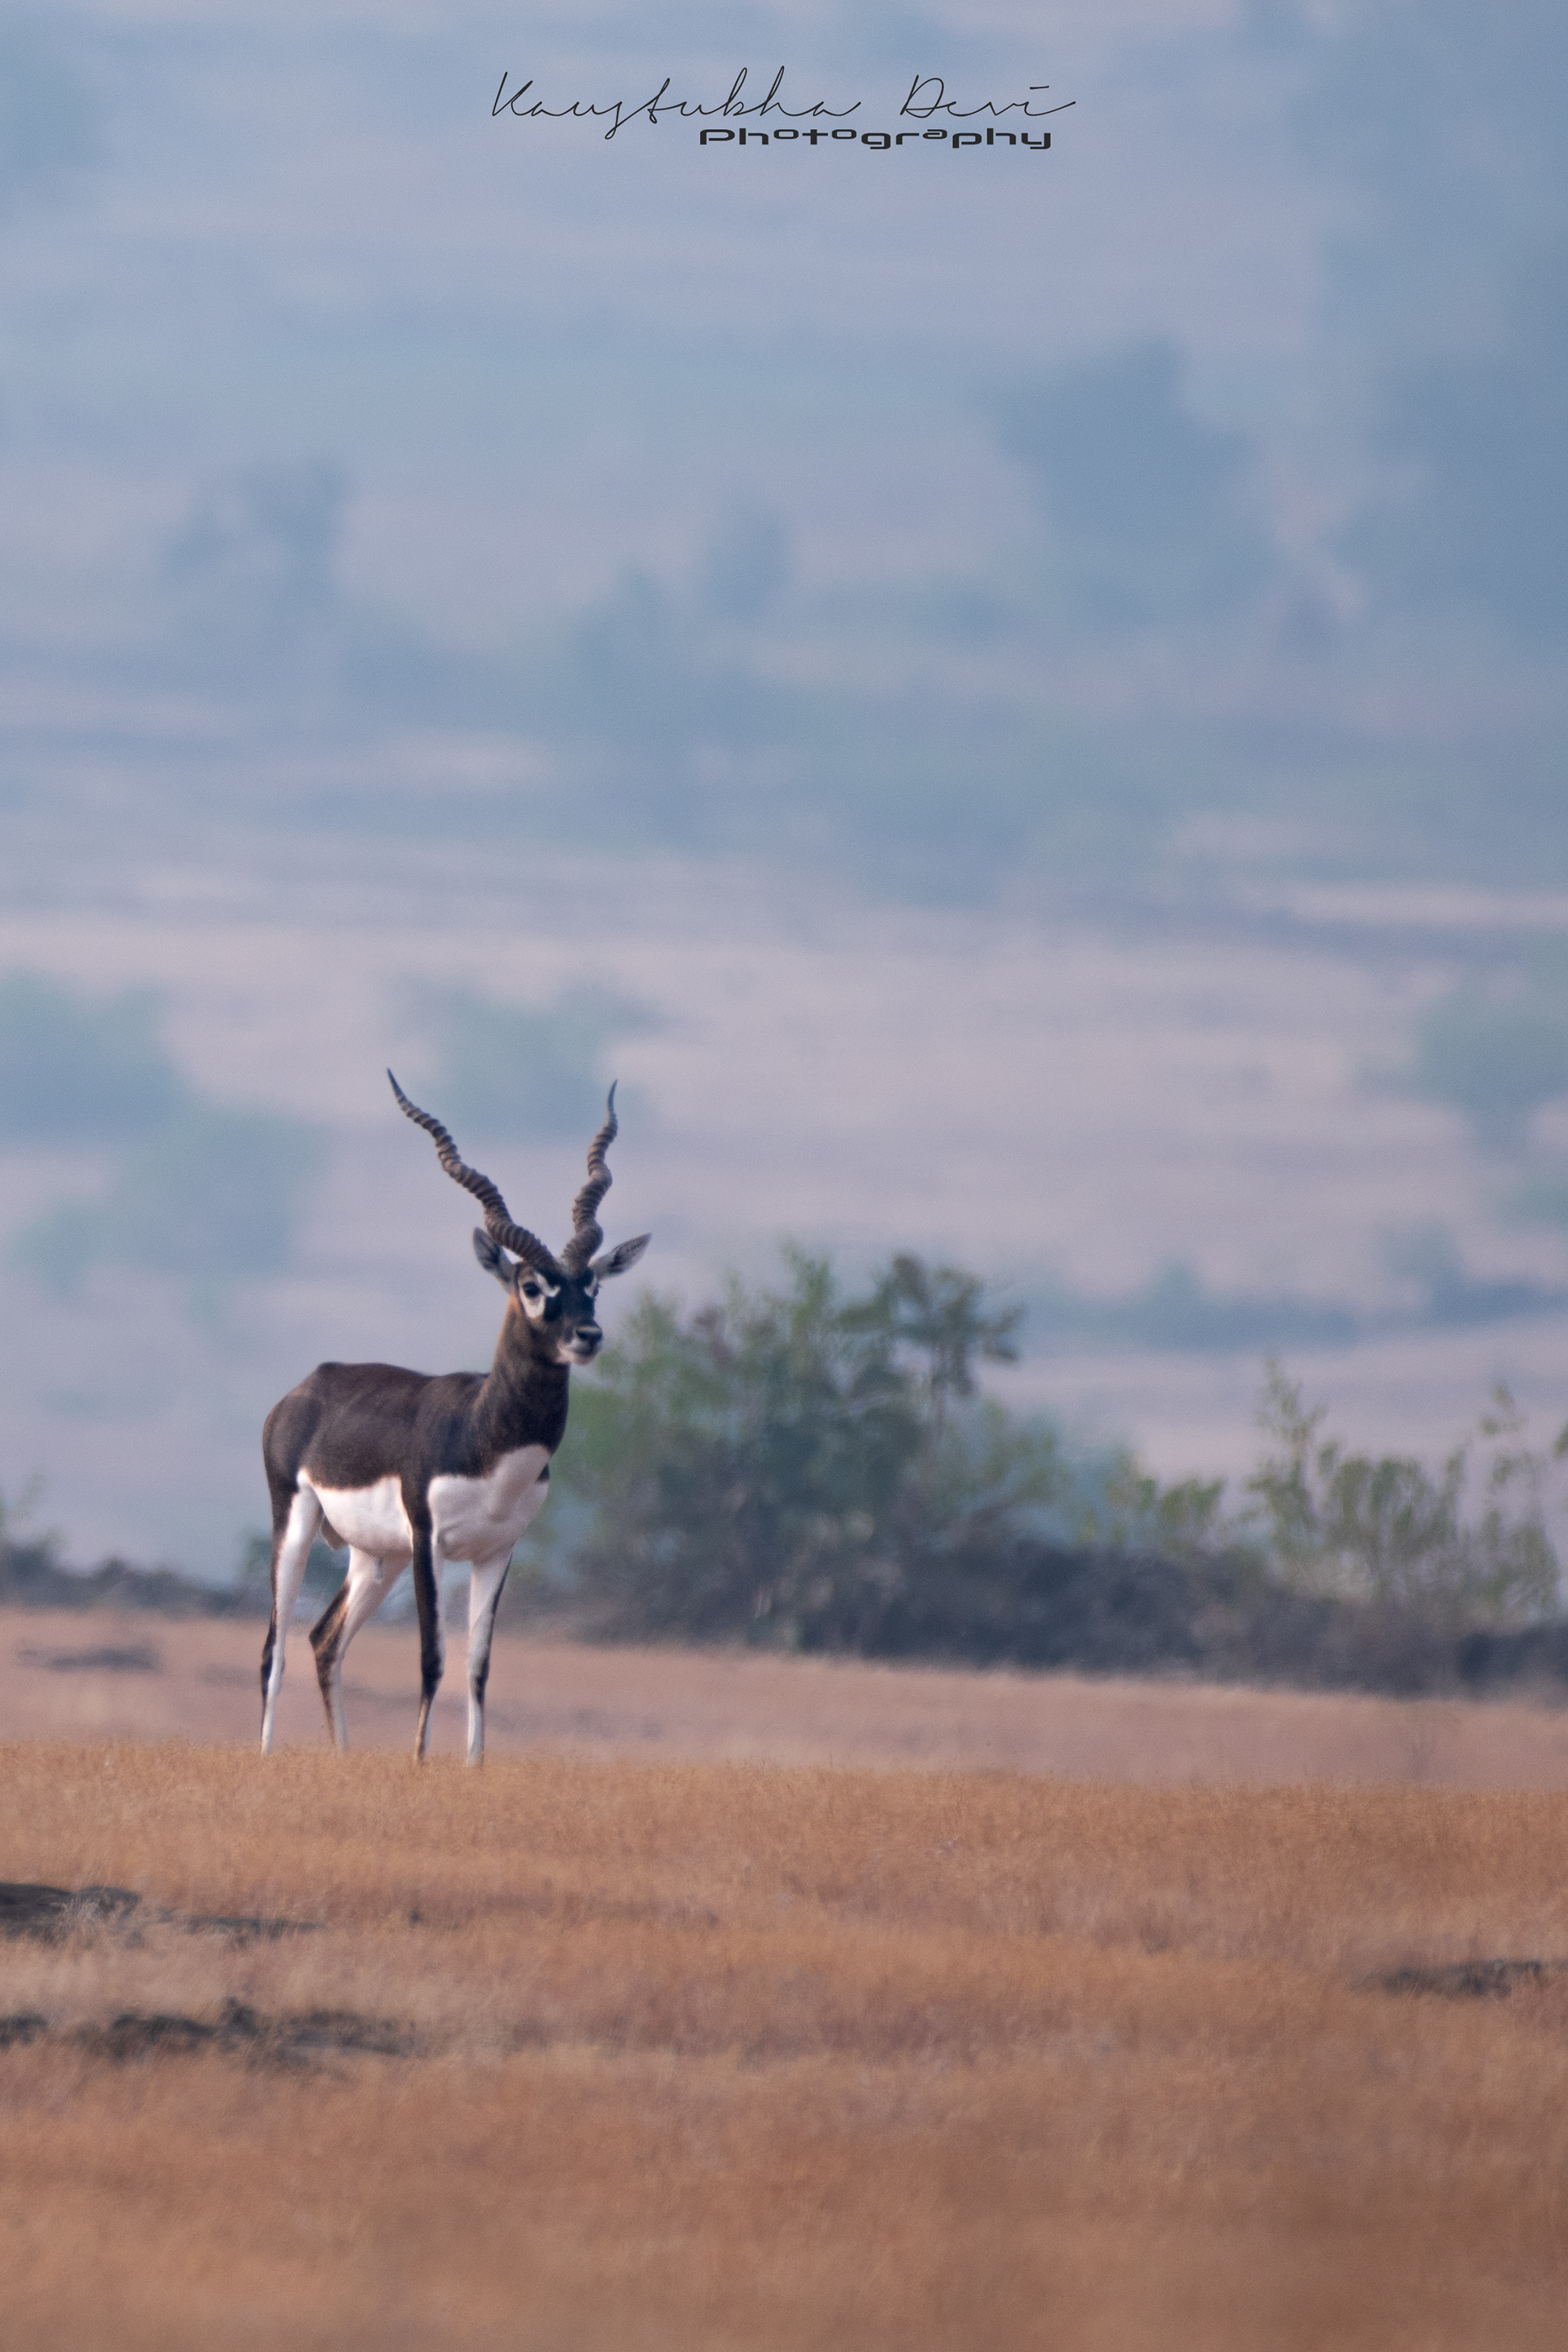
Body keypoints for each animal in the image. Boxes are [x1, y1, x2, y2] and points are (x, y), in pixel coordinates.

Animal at [259, 1073, 649, 1762]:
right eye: (531, 1285)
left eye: (593, 1285)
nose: (588, 1335)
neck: (484, 1436)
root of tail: (306, 1387)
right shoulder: (430, 1544)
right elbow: (432, 1658)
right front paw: (419, 1762)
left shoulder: (496, 1551)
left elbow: (477, 1666)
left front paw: (473, 1765)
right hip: (298, 1524)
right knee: (274, 1649)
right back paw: (266, 1755)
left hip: (374, 1556)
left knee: (323, 1640)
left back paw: (343, 1757)